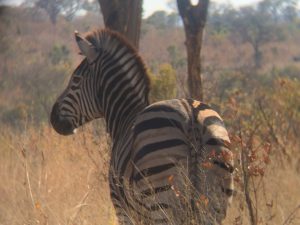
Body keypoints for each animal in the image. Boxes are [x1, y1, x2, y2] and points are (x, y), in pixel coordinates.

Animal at [49, 29, 234, 224]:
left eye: (76, 80)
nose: (53, 117)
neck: (125, 115)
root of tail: (190, 114)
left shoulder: (123, 210)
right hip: (213, 203)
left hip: (160, 200)